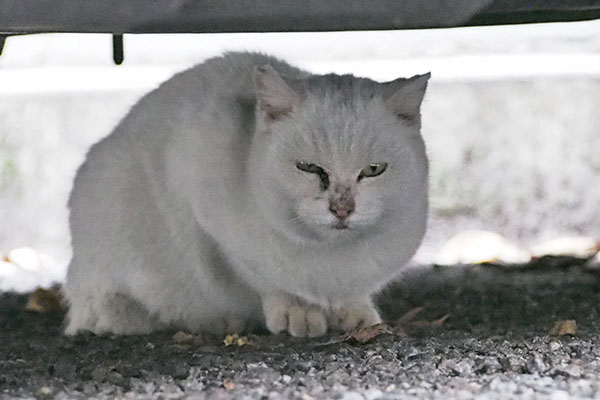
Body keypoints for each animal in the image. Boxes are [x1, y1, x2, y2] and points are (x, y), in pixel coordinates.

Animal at [64, 51, 432, 336]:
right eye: (308, 168)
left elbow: (354, 296)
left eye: (373, 170)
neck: (332, 257)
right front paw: (298, 311)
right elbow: (265, 280)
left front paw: (355, 312)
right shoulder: (205, 209)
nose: (342, 208)